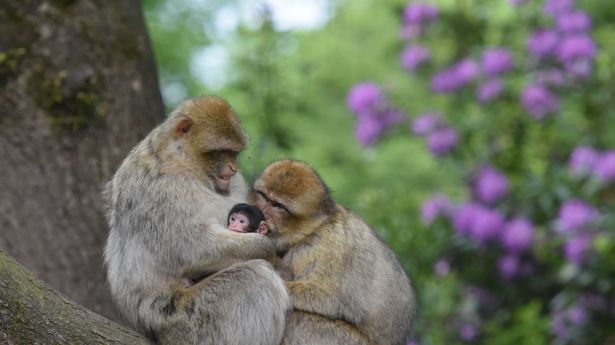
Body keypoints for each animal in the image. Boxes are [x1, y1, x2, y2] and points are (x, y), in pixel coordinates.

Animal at [104, 96, 292, 344]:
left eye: (234, 153)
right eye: (221, 151)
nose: (233, 168)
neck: (184, 160)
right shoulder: (167, 188)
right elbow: (191, 246)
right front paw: (266, 248)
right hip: (186, 321)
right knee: (256, 278)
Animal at [253, 159, 416, 344]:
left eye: (278, 206)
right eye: (264, 197)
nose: (261, 212)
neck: (315, 228)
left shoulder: (322, 249)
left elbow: (329, 299)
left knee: (296, 318)